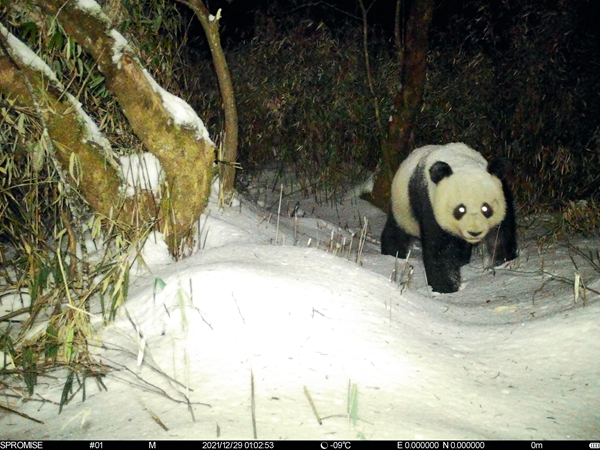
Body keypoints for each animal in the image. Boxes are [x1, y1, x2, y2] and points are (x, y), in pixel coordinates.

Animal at [382, 142, 516, 294]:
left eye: (486, 208)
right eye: (460, 210)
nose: (474, 232)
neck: (463, 163)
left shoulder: (504, 195)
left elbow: (500, 235)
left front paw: (501, 263)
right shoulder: (429, 202)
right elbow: (440, 250)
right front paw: (447, 287)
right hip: (403, 207)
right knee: (397, 231)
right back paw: (392, 254)